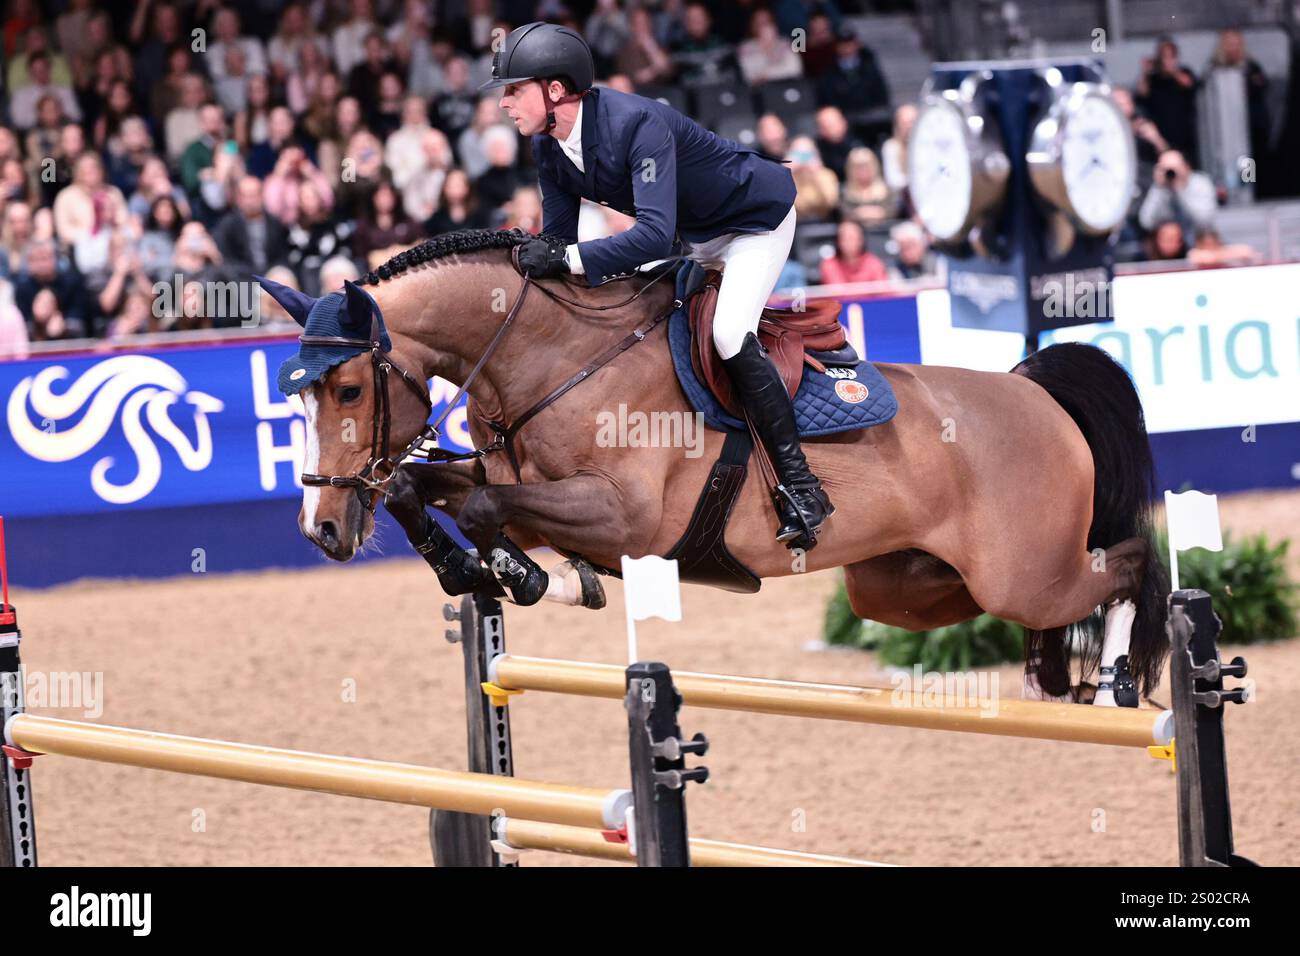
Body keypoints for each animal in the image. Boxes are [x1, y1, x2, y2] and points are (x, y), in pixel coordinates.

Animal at [266, 227, 1170, 697]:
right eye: (295, 397)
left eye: (348, 388)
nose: (321, 529)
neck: (554, 358)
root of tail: (1032, 390)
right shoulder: (517, 484)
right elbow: (418, 488)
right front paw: (478, 572)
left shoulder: (626, 517)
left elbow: (488, 513)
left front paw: (523, 576)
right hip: (905, 584)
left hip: (1023, 571)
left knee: (1126, 564)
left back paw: (1119, 676)